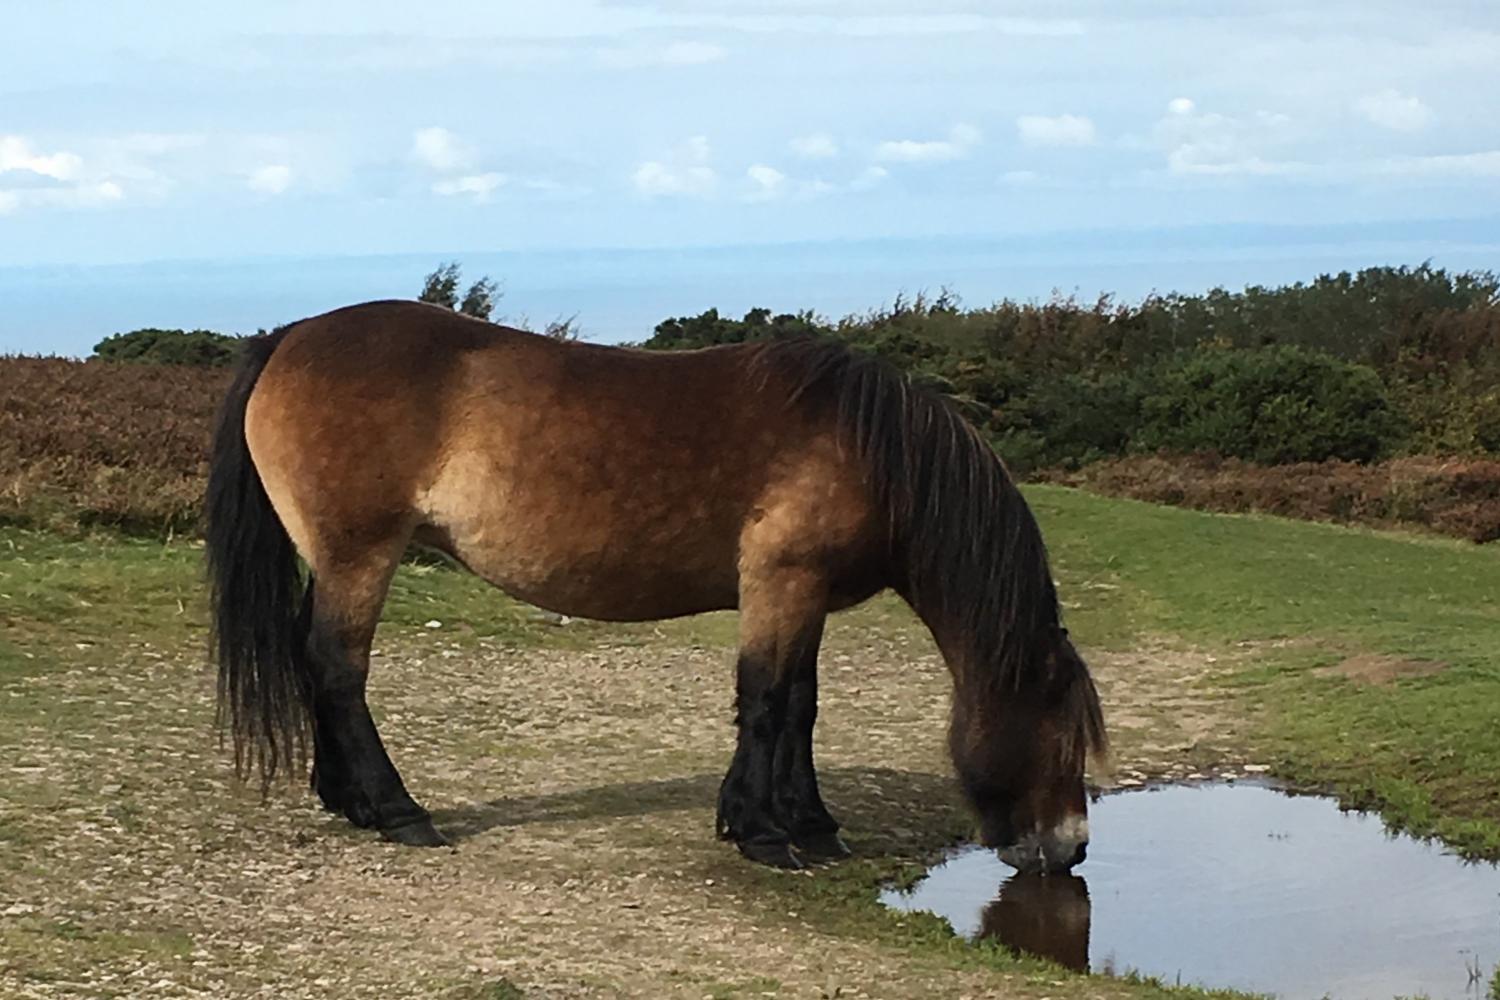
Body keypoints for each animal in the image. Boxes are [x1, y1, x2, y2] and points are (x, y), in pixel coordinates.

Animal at [202, 301, 1104, 869]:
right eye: (1063, 736)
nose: (1070, 848)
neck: (872, 448)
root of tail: (289, 337)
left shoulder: (805, 597)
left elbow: (802, 705)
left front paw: (811, 825)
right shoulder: (781, 582)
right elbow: (768, 701)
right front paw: (761, 833)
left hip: (336, 561)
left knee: (315, 664)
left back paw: (349, 801)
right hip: (362, 557)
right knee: (338, 670)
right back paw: (398, 812)